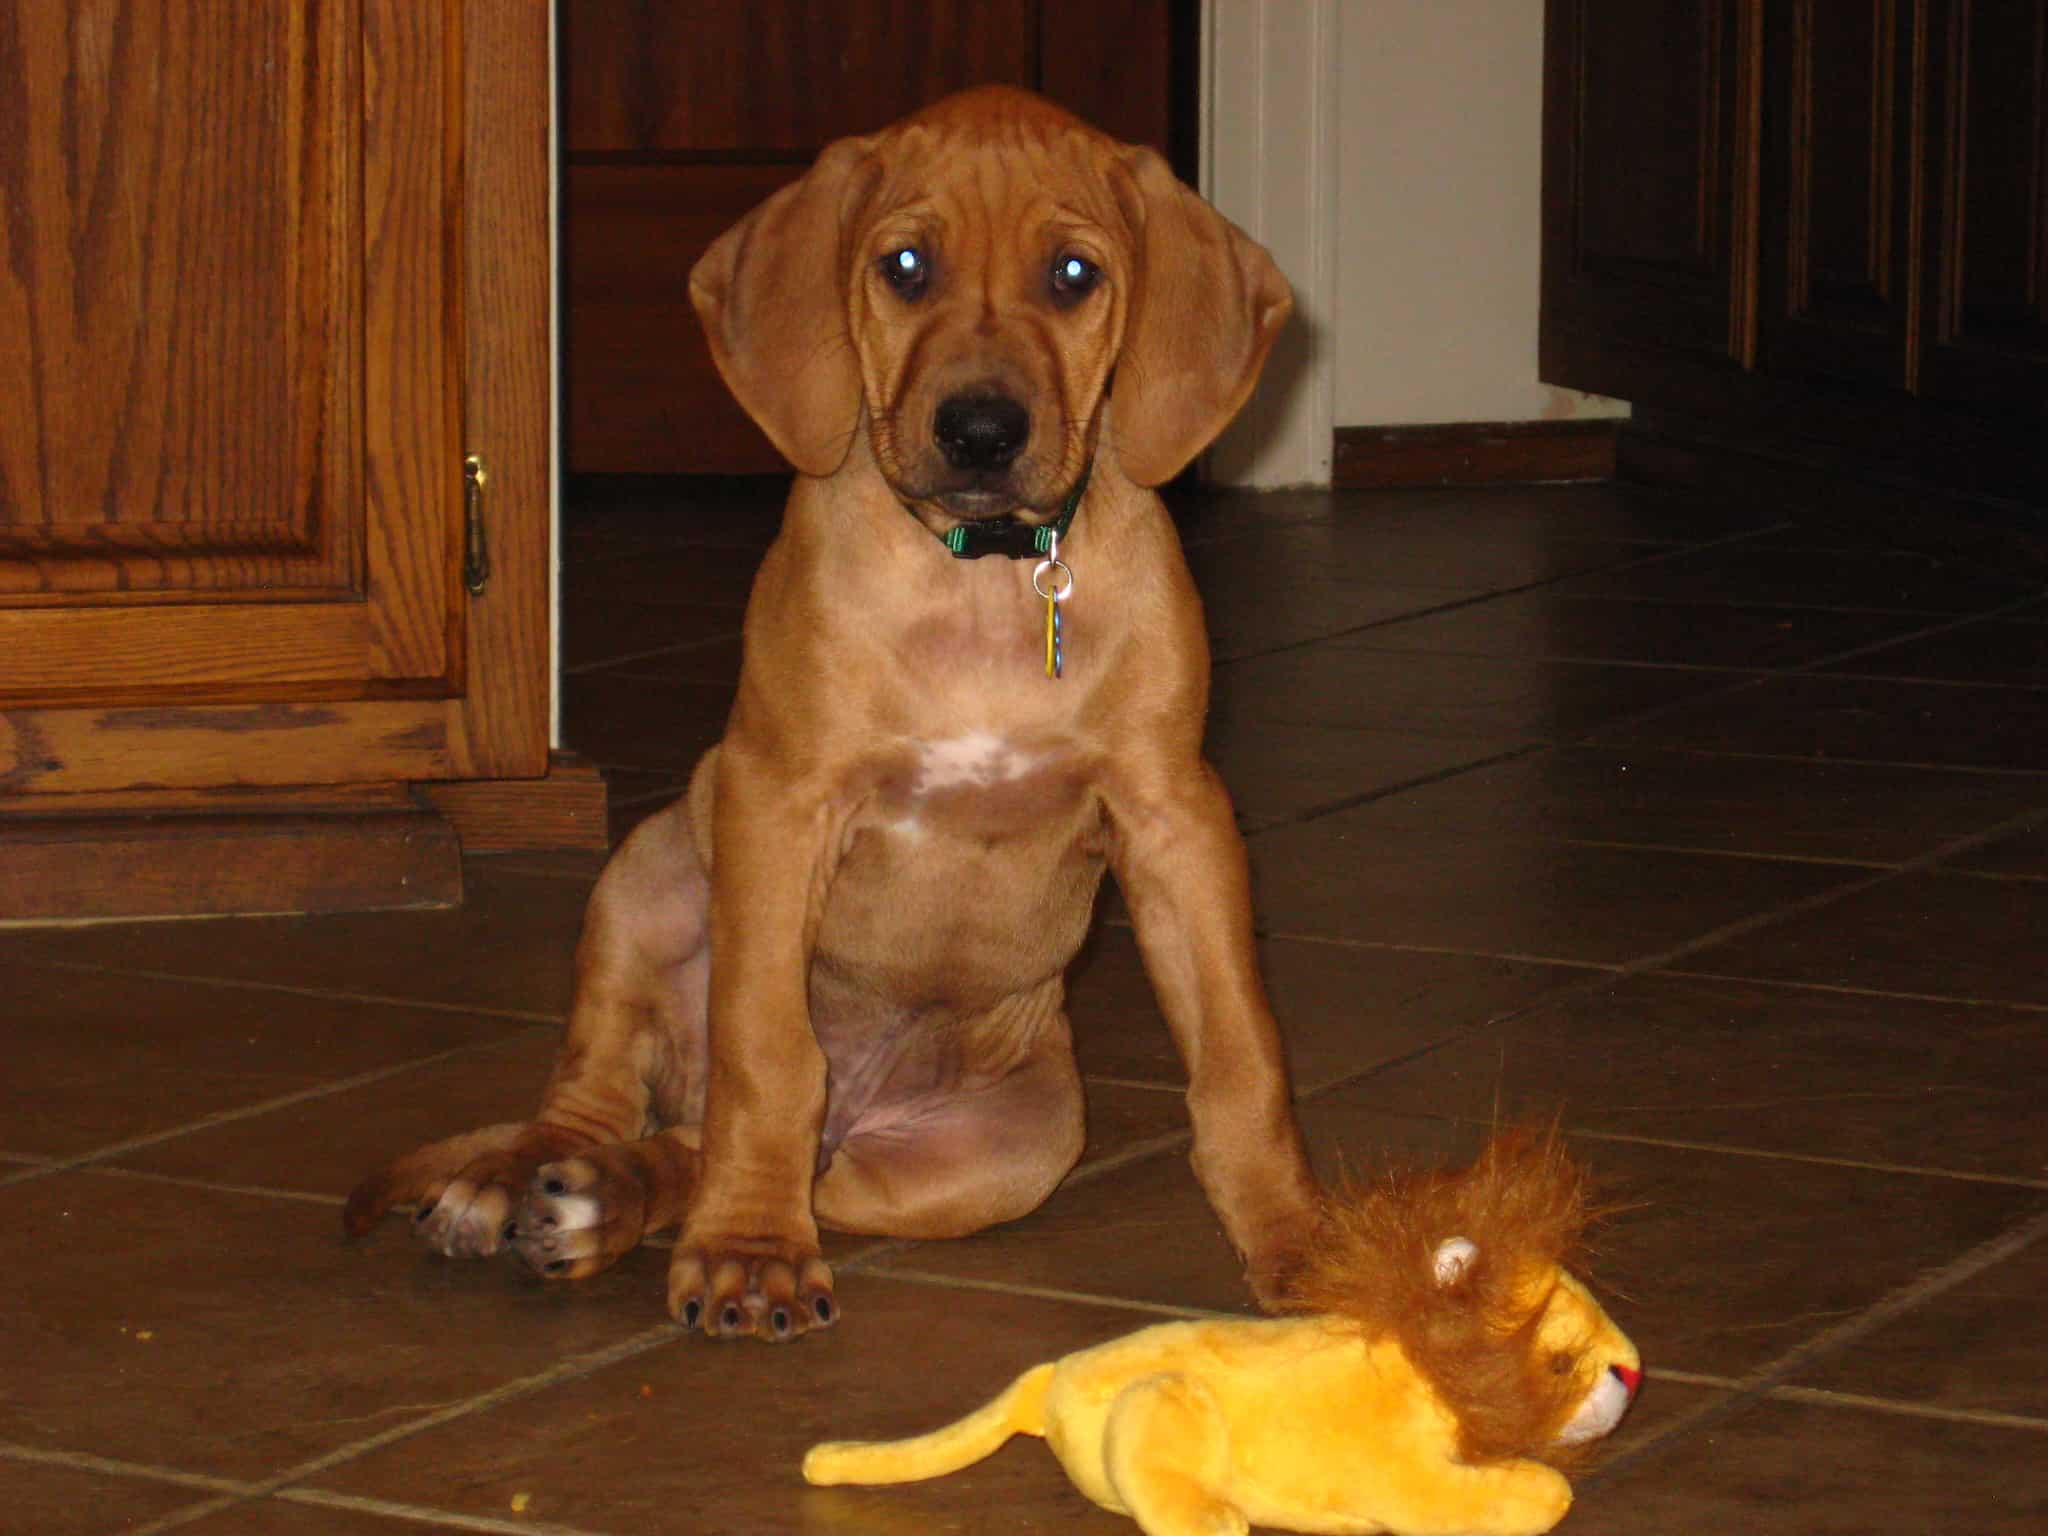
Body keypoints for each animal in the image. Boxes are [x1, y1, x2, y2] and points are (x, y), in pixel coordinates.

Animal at [344, 83, 1318, 1343]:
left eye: (1072, 275)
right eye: (904, 265)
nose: (980, 433)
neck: (980, 577)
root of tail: (863, 1108)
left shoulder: (1176, 818)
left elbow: (1242, 1056)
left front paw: (1299, 1240)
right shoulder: (779, 800)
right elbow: (767, 1052)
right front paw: (749, 1255)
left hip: (1000, 1155)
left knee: (701, 1146)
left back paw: (597, 1205)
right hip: (649, 872)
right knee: (612, 1102)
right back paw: (527, 1186)